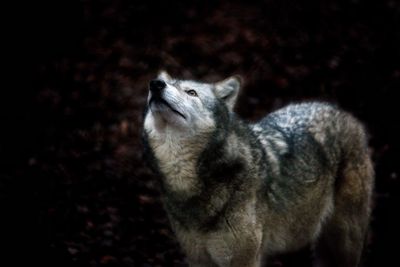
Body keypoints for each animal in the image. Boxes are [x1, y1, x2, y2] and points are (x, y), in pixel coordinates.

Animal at [142, 71, 374, 267]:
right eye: (165, 84)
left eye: (191, 92)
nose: (156, 84)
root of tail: (344, 113)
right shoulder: (198, 259)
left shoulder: (244, 259)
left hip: (345, 241)